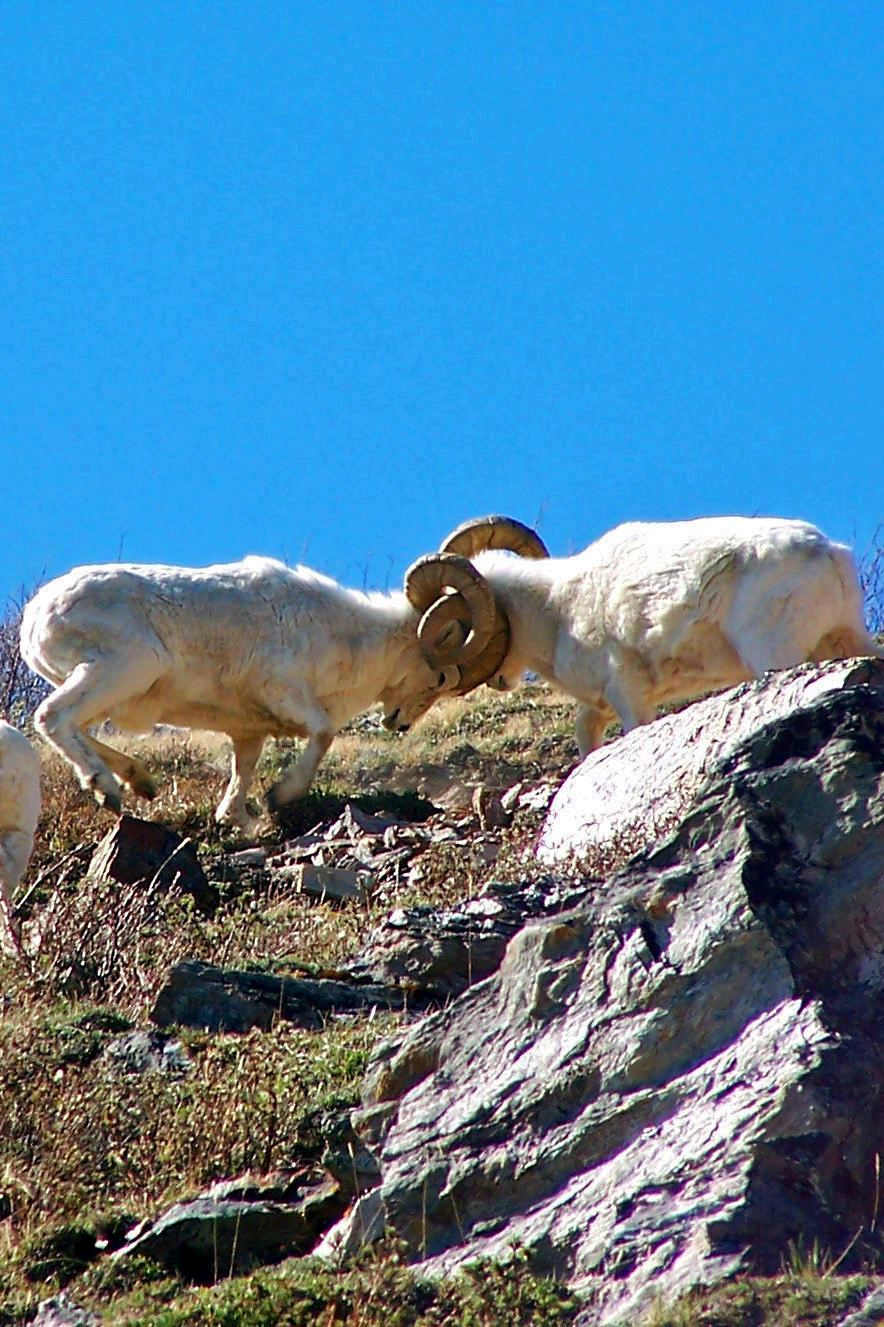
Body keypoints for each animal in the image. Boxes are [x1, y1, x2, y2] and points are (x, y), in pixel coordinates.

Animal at [19, 553, 507, 831]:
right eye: (441, 678)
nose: (399, 724)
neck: (344, 639)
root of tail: (37, 615)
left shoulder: (247, 733)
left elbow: (242, 777)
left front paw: (238, 820)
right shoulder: (286, 696)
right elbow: (324, 733)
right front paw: (280, 797)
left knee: (77, 727)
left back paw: (141, 781)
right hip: (123, 670)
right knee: (54, 718)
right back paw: (107, 789)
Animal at [406, 514, 881, 755]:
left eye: (451, 630)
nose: (499, 682)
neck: (555, 610)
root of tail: (827, 554)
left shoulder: (627, 694)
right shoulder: (602, 705)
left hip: (774, 655)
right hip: (846, 640)